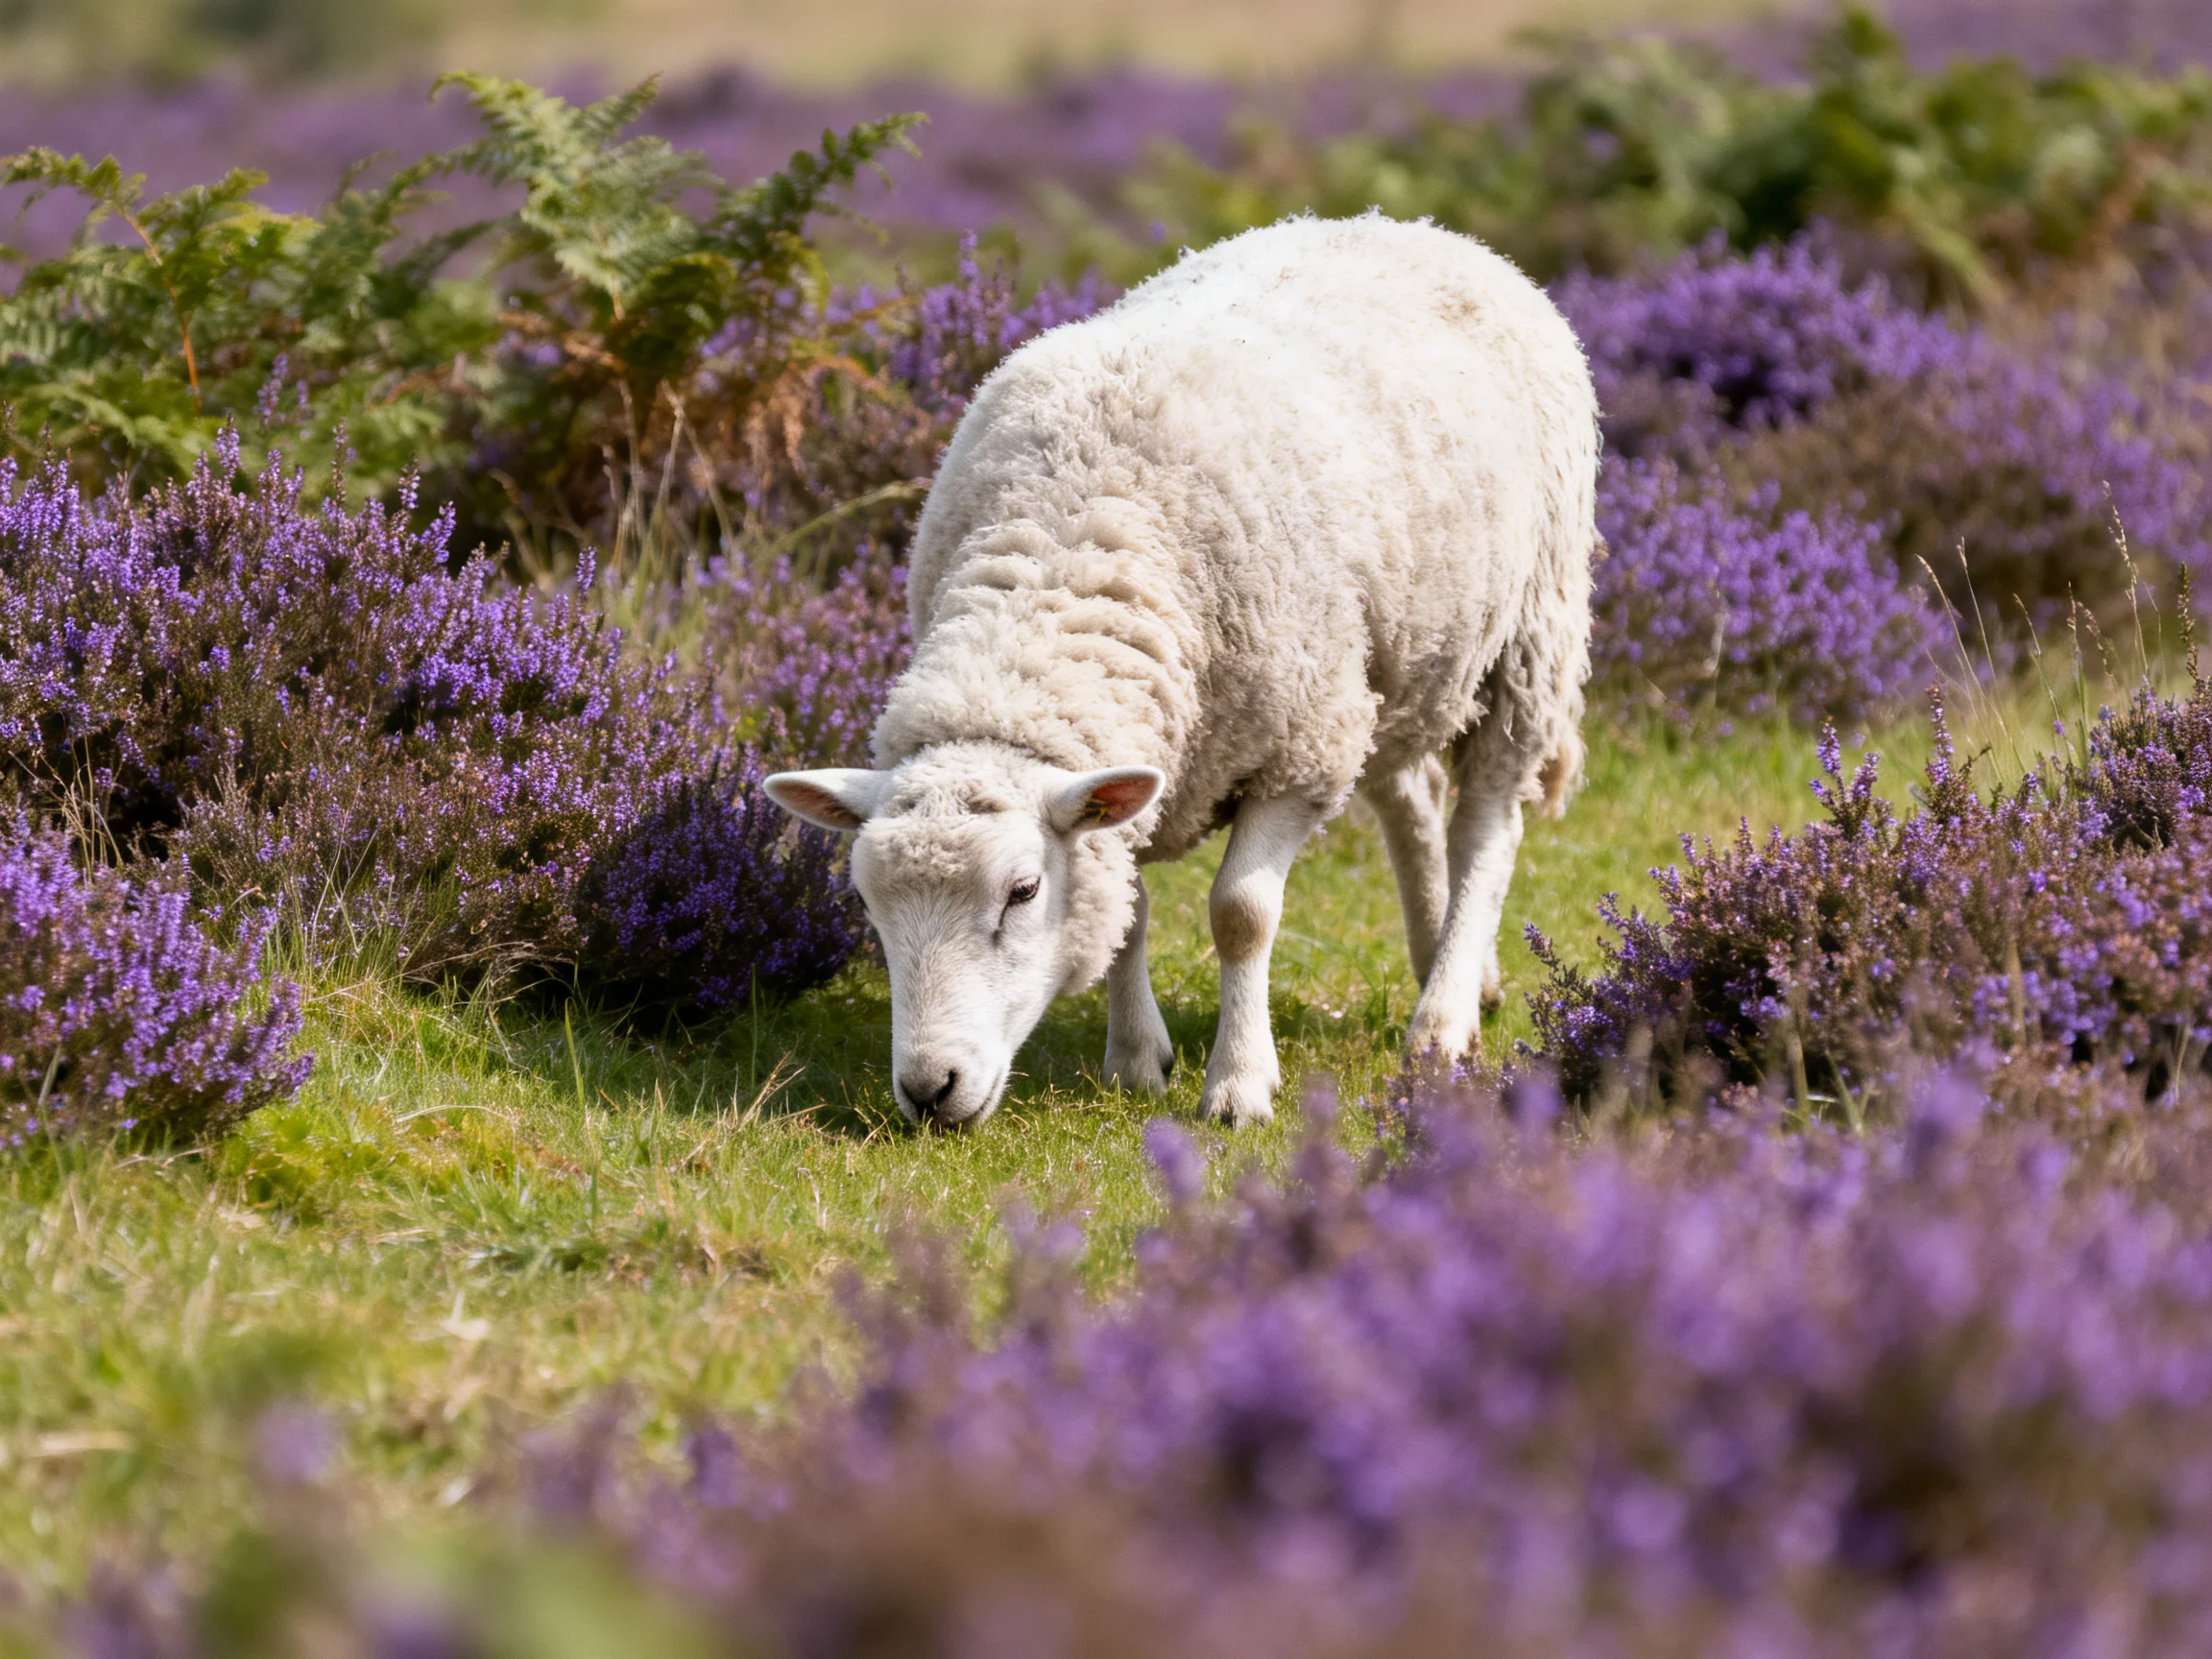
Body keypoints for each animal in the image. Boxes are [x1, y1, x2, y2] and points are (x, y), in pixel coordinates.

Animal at [765, 213, 1597, 1128]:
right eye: (867, 904)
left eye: (1022, 891)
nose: (928, 1089)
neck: (1070, 551)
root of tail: (1415, 227)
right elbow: (1126, 912)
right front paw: (1136, 1061)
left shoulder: (1299, 752)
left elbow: (1241, 914)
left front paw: (1239, 1085)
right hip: (1396, 661)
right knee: (1410, 799)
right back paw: (1449, 964)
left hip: (1529, 633)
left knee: (1485, 823)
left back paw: (1442, 1020)